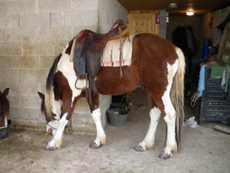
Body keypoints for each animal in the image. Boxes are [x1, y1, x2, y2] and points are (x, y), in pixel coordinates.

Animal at [38, 31, 185, 159]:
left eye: (45, 112)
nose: (49, 131)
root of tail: (173, 49)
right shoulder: (92, 93)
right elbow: (96, 115)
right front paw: (98, 140)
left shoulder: (71, 94)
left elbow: (64, 118)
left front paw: (53, 142)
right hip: (151, 90)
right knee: (155, 114)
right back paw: (145, 144)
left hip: (159, 91)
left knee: (170, 115)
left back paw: (167, 150)